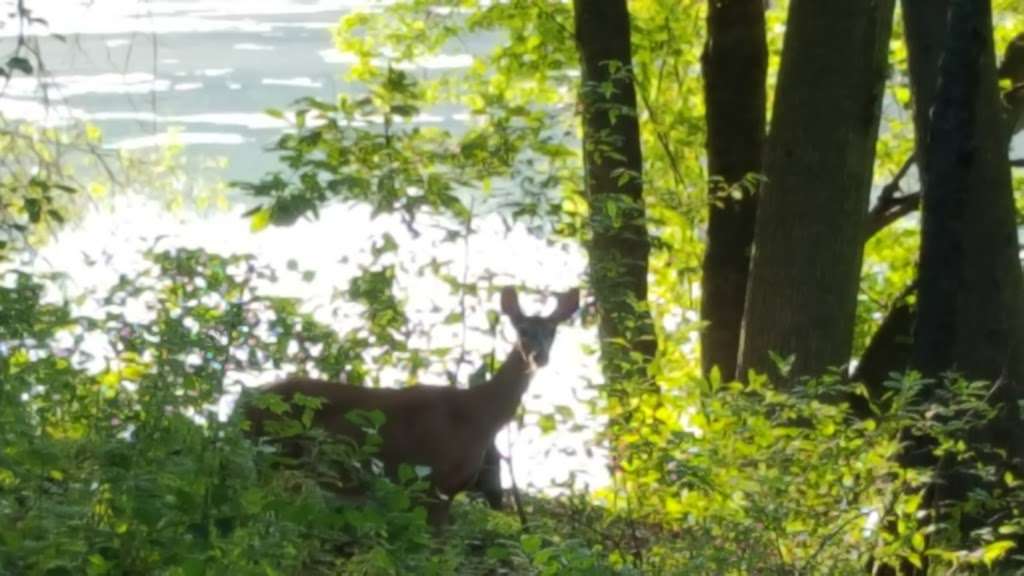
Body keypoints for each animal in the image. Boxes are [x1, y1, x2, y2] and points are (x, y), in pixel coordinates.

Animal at [239, 284, 577, 524]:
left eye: (552, 332)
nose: (539, 357)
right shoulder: (434, 481)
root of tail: (241, 403)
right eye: (521, 329)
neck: (479, 416)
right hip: (270, 451)